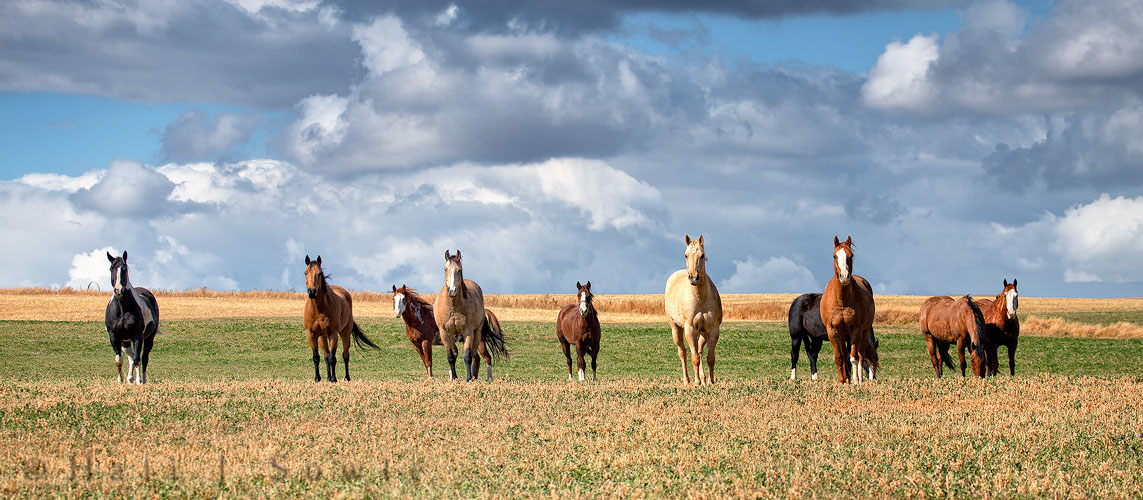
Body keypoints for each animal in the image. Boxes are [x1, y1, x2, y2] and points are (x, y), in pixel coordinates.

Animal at [104, 251, 159, 384]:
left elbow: (137, 359)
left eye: (124, 269)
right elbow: (119, 359)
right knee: (130, 356)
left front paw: (139, 381)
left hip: (149, 338)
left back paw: (143, 380)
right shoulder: (114, 336)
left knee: (143, 357)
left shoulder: (138, 336)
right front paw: (120, 380)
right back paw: (130, 378)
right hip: (125, 341)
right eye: (111, 268)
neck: (123, 309)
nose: (118, 290)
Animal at [434, 250, 491, 381]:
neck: (453, 308)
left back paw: (473, 377)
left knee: (475, 356)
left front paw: (468, 378)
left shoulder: (468, 332)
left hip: (477, 333)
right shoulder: (444, 333)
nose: (452, 291)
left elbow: (467, 357)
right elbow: (451, 356)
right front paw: (454, 377)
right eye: (445, 269)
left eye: (459, 270)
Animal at [665, 234, 723, 385]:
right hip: (676, 329)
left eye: (702, 255)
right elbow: (694, 358)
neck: (700, 297)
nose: (693, 278)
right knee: (683, 352)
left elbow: (710, 357)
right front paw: (696, 382)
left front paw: (711, 381)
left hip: (702, 333)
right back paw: (687, 380)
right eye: (686, 255)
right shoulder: (690, 329)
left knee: (700, 351)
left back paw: (703, 379)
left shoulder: (713, 330)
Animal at [820, 236, 878, 384]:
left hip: (864, 332)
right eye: (835, 256)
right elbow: (839, 356)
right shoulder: (833, 330)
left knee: (861, 355)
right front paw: (842, 380)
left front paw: (856, 380)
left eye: (851, 256)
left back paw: (860, 379)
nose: (844, 276)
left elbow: (854, 358)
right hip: (842, 334)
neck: (841, 301)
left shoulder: (856, 330)